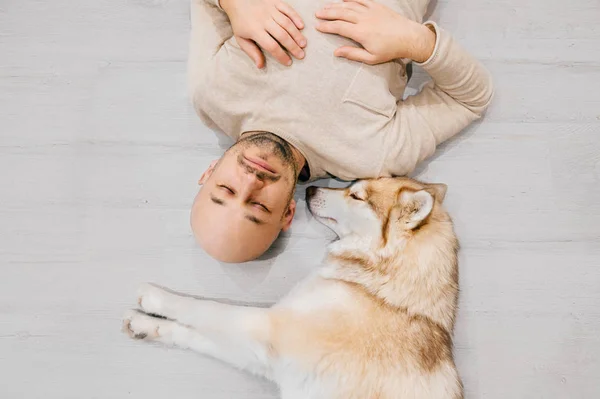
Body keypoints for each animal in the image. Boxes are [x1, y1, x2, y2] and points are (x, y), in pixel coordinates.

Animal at [120, 179, 460, 399]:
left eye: (357, 196)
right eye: (352, 185)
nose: (309, 188)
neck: (379, 288)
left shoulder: (267, 327)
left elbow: (204, 308)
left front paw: (155, 298)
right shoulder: (266, 357)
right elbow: (194, 336)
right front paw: (147, 326)